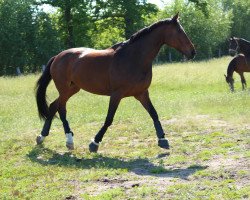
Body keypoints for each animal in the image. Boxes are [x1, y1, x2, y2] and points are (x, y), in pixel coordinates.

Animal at [35, 12, 195, 152]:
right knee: (61, 109)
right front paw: (95, 143)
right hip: (64, 89)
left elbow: (154, 114)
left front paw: (162, 139)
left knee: (53, 106)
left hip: (72, 89)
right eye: (179, 31)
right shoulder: (116, 95)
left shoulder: (142, 93)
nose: (193, 52)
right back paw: (68, 140)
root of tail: (58, 56)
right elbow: (109, 119)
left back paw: (42, 136)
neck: (133, 58)